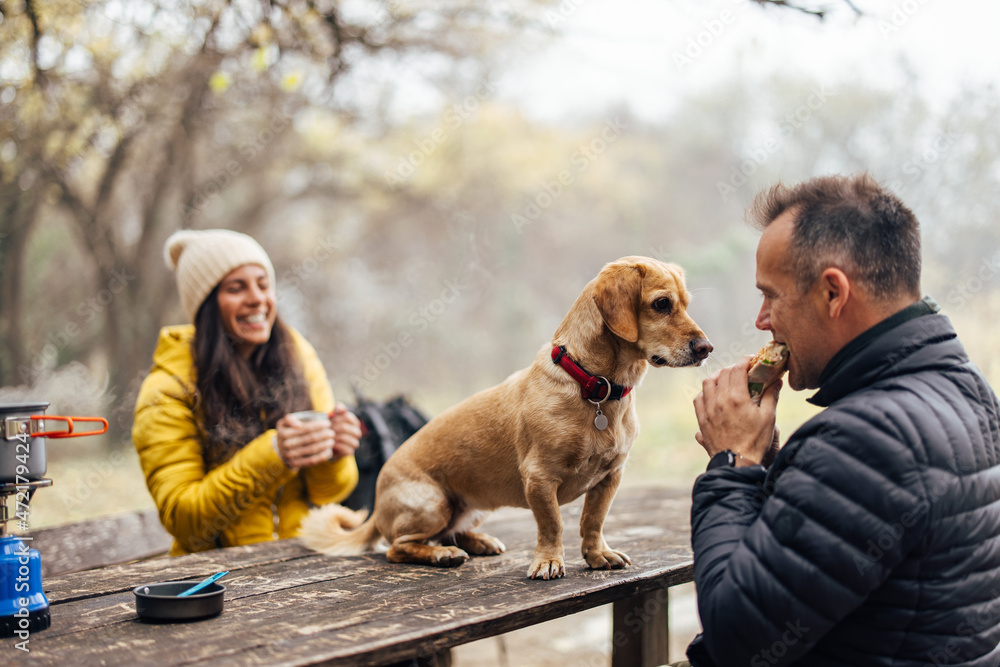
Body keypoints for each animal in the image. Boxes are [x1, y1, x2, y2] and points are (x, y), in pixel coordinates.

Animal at [298, 256, 712, 580]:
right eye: (661, 304)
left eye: (686, 304)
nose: (707, 348)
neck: (597, 389)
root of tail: (378, 502)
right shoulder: (539, 479)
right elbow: (553, 525)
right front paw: (548, 562)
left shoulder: (609, 478)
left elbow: (592, 522)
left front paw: (597, 556)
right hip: (432, 504)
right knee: (398, 547)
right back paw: (440, 555)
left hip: (473, 507)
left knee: (449, 532)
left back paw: (478, 542)